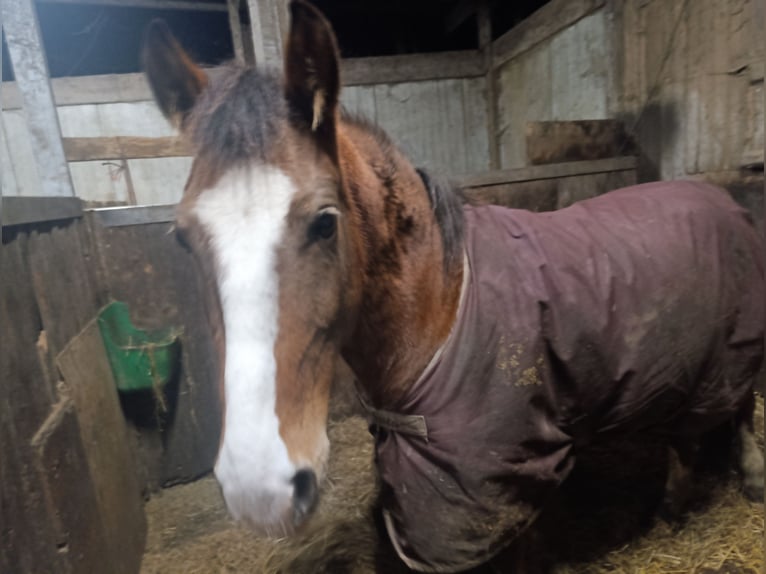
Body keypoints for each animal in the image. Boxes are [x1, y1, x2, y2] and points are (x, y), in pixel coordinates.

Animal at [142, 2, 764, 572]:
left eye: (324, 222)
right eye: (182, 237)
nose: (260, 489)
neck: (442, 310)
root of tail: (725, 200)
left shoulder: (505, 481)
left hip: (722, 357)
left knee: (717, 419)